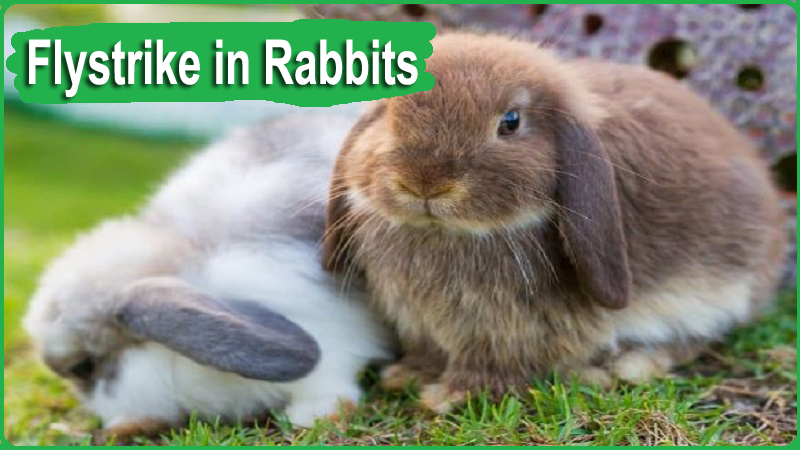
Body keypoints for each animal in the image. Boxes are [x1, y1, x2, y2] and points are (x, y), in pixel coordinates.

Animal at [322, 31, 787, 412]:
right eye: (387, 113)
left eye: (511, 122)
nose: (424, 183)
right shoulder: (420, 322)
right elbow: (427, 351)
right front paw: (405, 375)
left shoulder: (509, 331)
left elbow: (492, 365)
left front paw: (450, 396)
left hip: (718, 290)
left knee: (695, 339)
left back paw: (628, 365)